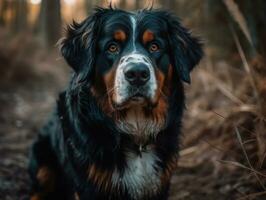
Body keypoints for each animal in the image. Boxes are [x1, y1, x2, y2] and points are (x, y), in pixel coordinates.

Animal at [29, 5, 203, 200]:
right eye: (112, 47)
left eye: (154, 46)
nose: (137, 73)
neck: (136, 131)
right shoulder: (89, 185)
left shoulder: (160, 182)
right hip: (42, 165)